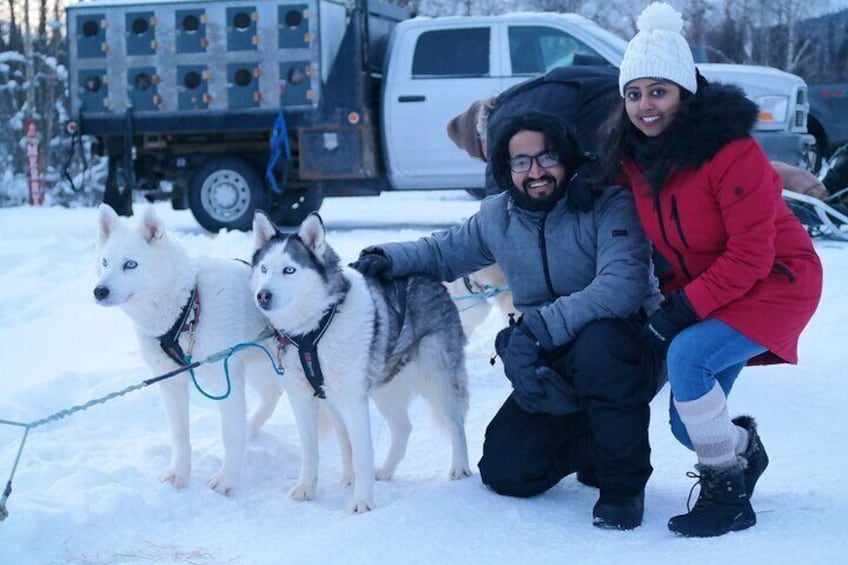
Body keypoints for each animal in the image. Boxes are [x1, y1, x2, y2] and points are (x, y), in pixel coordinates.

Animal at [94, 204, 284, 494]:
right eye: (105, 263)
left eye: (130, 264)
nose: (99, 291)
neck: (189, 308)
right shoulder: (171, 383)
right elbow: (180, 434)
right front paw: (179, 474)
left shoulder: (225, 381)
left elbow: (230, 434)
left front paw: (227, 479)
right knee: (272, 394)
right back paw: (250, 427)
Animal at [252, 210, 474, 512]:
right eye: (264, 269)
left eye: (289, 270)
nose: (262, 295)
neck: (316, 328)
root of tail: (432, 280)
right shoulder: (308, 399)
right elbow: (318, 449)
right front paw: (310, 488)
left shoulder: (352, 401)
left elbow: (361, 451)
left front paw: (362, 501)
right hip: (385, 389)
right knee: (403, 428)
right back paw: (386, 470)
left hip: (436, 378)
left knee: (456, 423)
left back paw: (460, 467)